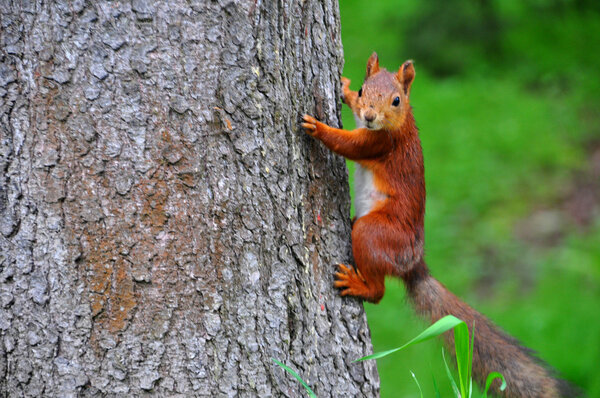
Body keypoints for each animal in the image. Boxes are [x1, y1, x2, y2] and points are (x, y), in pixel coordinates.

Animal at [302, 52, 576, 398]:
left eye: (396, 100)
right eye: (365, 90)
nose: (369, 115)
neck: (400, 122)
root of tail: (413, 263)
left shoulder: (381, 143)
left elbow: (347, 145)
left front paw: (318, 128)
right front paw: (345, 88)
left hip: (376, 234)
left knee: (378, 291)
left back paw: (357, 283)